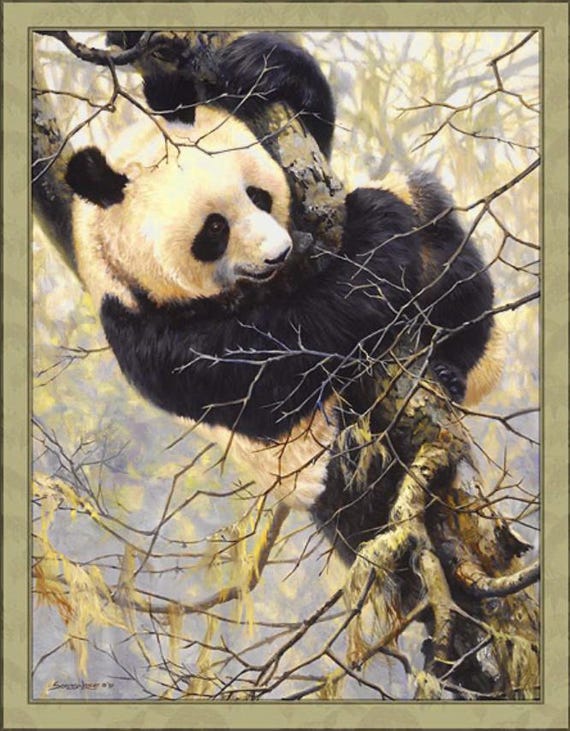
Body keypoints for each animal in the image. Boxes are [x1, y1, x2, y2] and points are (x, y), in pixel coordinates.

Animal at [65, 33, 502, 559]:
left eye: (259, 195)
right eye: (214, 230)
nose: (280, 252)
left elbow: (311, 144)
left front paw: (259, 66)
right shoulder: (146, 332)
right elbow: (282, 359)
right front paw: (377, 223)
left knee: (442, 242)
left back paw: (451, 363)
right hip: (327, 466)